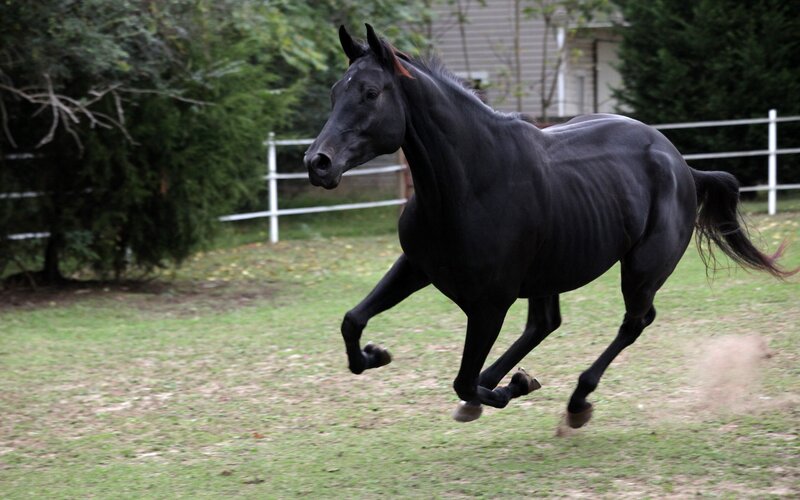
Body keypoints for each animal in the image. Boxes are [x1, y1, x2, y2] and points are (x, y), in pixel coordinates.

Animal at [303, 24, 794, 428]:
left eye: (370, 92)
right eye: (334, 92)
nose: (317, 163)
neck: (472, 182)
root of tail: (681, 165)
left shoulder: (489, 303)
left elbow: (462, 378)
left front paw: (510, 388)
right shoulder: (417, 266)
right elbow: (352, 320)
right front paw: (375, 355)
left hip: (640, 270)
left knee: (634, 321)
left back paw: (575, 401)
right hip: (550, 270)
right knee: (546, 323)